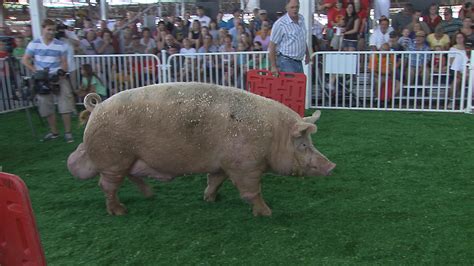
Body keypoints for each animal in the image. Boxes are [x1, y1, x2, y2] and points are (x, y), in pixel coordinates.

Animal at [67, 82, 336, 216]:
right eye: (303, 145)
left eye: (310, 143)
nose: (332, 166)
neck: (273, 136)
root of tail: (96, 108)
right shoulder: (245, 166)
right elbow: (251, 192)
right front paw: (267, 213)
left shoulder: (223, 164)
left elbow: (214, 180)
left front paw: (211, 199)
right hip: (114, 157)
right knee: (107, 185)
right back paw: (120, 212)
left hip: (129, 158)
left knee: (129, 177)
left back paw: (150, 195)